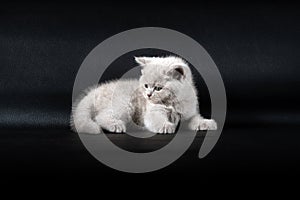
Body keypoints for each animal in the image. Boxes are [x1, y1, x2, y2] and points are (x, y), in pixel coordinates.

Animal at [71, 55, 216, 134]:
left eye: (158, 88)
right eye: (146, 85)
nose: (148, 95)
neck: (174, 102)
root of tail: (94, 92)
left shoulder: (189, 113)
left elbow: (195, 119)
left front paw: (206, 123)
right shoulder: (153, 112)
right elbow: (157, 120)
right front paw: (166, 126)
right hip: (124, 103)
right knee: (101, 117)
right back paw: (117, 125)